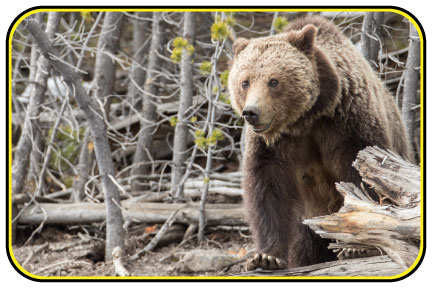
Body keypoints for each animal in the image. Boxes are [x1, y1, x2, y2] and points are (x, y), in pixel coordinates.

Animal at [228, 14, 410, 272]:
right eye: (245, 81)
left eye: (273, 81)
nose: (251, 112)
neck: (305, 119)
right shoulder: (273, 146)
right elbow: (268, 189)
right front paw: (266, 257)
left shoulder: (348, 124)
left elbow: (365, 178)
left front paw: (358, 247)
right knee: (305, 245)